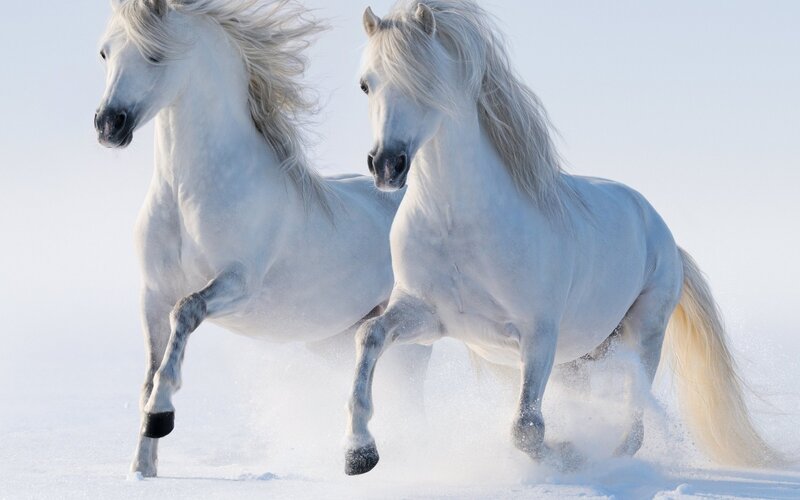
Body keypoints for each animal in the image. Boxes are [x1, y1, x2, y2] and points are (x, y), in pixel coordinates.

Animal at [95, 0, 430, 478]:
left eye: (155, 54)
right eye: (105, 52)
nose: (109, 125)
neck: (186, 195)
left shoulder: (238, 284)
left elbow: (186, 313)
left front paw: (161, 416)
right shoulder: (152, 294)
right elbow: (149, 371)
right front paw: (142, 469)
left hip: (412, 338)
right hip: (333, 341)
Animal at [344, 0, 783, 475]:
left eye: (425, 81)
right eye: (366, 84)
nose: (386, 165)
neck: (457, 225)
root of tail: (662, 233)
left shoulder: (539, 335)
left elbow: (526, 429)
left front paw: (568, 455)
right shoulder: (427, 317)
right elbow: (368, 335)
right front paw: (359, 452)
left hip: (643, 333)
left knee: (634, 419)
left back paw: (609, 458)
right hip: (581, 357)